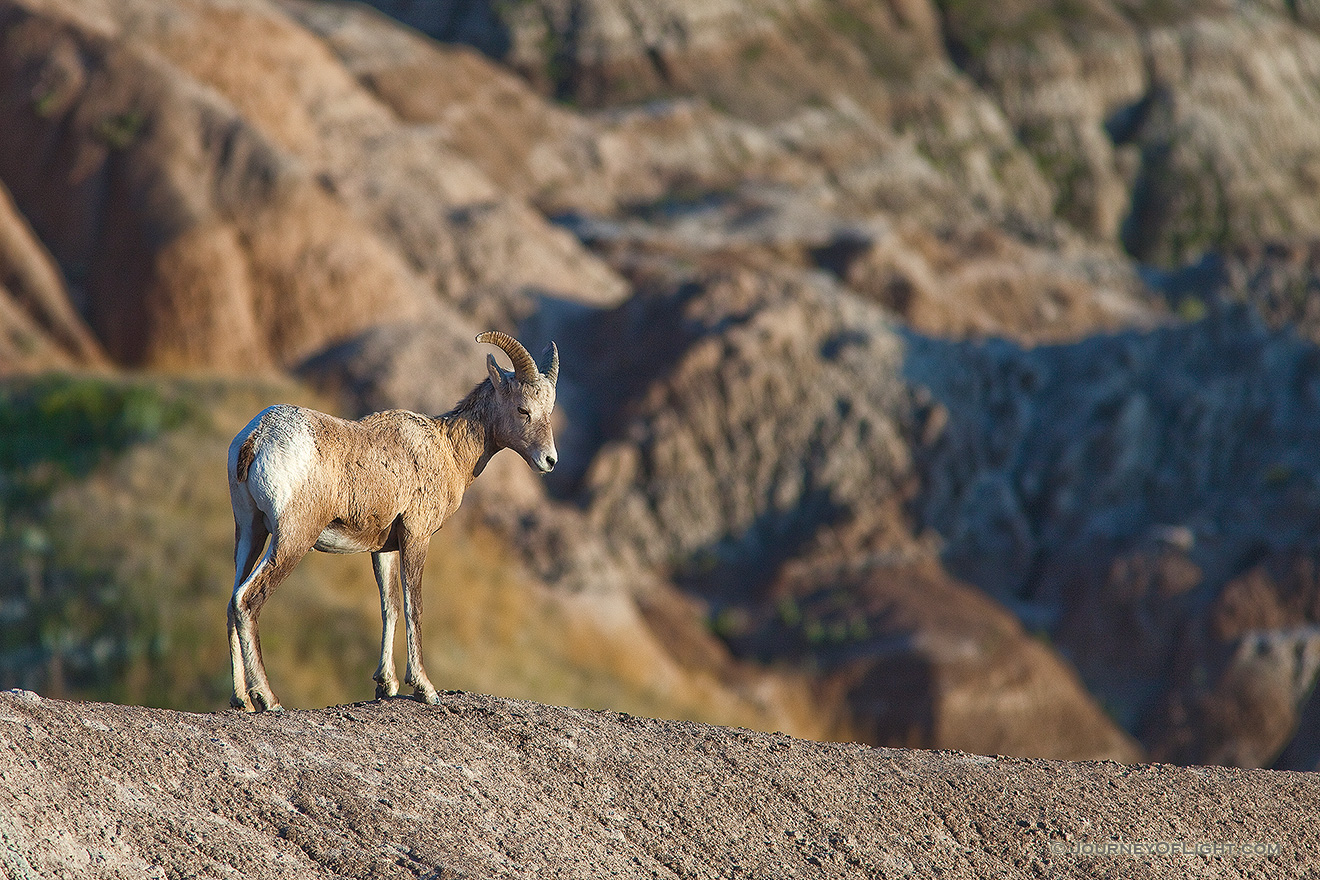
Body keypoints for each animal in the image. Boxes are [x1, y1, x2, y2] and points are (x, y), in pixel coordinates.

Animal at [227, 329, 557, 707]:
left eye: (548, 410)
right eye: (522, 409)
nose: (549, 460)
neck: (448, 450)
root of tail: (258, 436)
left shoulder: (383, 548)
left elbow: (390, 606)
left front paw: (386, 685)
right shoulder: (416, 536)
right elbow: (415, 606)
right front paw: (425, 688)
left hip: (250, 532)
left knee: (232, 602)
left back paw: (241, 700)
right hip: (291, 539)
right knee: (248, 600)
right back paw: (268, 699)